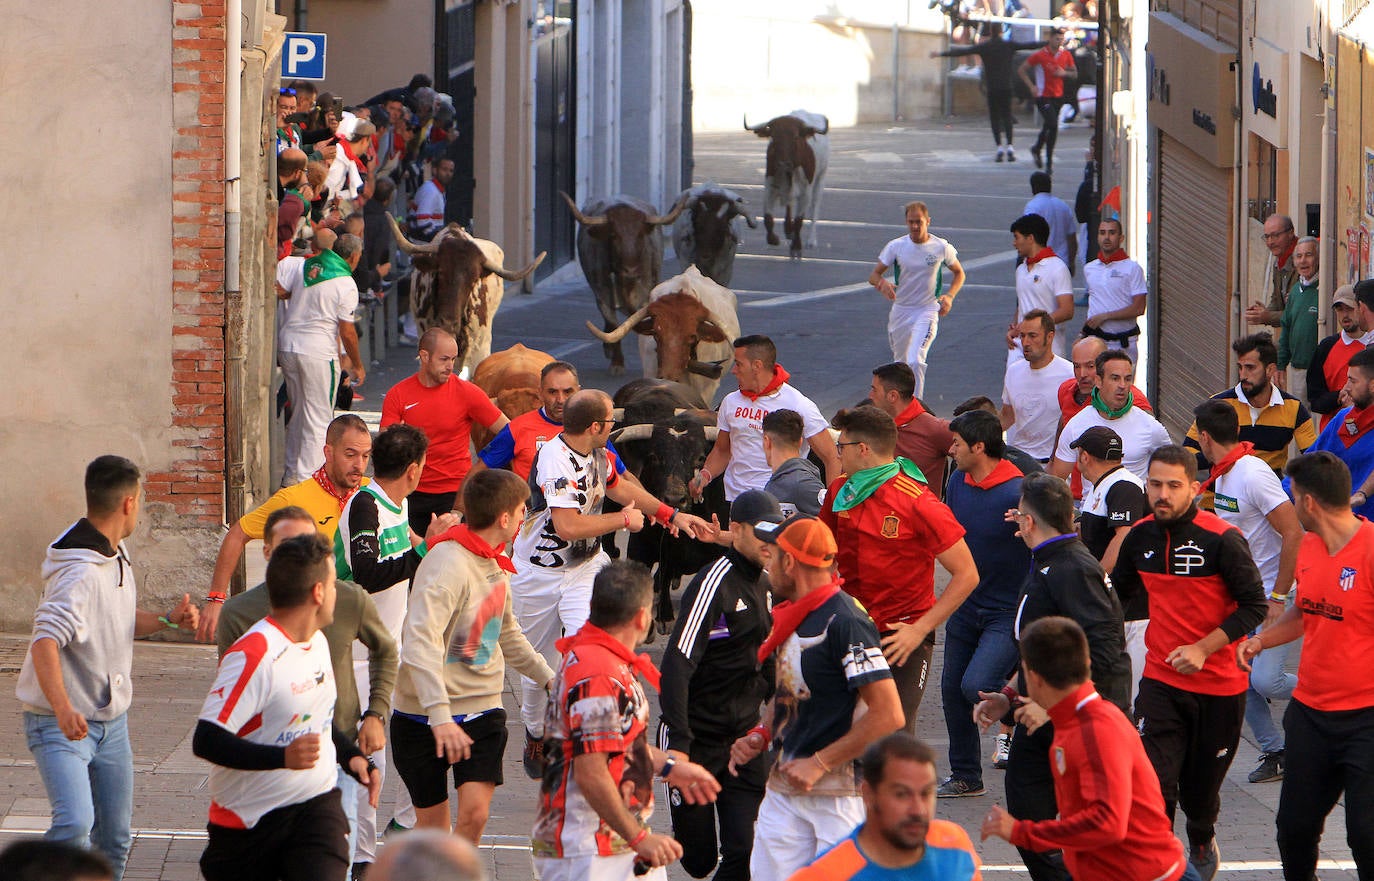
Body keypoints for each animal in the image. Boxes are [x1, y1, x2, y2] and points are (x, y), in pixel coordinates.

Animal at [560, 191, 684, 373]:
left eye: (640, 234)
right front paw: (617, 363)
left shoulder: (646, 295)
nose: (630, 270)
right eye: (614, 235)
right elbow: (613, 324)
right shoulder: (603, 295)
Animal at [747, 109, 829, 258]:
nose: (783, 163)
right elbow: (768, 218)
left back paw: (811, 240)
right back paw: (788, 230)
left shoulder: (805, 193)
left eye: (796, 137)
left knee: (815, 208)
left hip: (821, 178)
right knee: (789, 203)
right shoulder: (769, 187)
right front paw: (774, 239)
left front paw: (796, 246)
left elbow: (799, 220)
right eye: (773, 137)